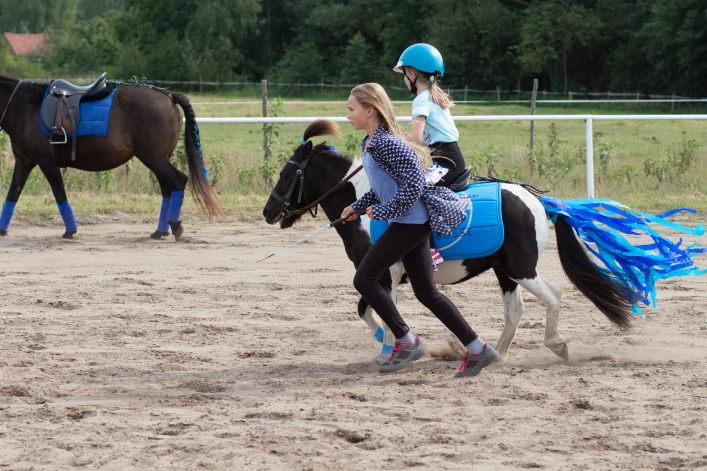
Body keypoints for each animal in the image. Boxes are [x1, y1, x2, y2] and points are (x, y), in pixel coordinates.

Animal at [0, 74, 222, 240]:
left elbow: (59, 194)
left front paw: (70, 230)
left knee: (178, 181)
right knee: (167, 188)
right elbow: (12, 194)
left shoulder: (47, 163)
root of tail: (169, 96)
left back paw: (175, 226)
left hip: (154, 157)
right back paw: (160, 231)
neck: (26, 108)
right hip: (159, 158)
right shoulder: (24, 162)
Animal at [261, 120, 641, 364]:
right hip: (504, 271)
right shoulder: (381, 276)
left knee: (554, 295)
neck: (367, 206)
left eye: (285, 173)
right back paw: (495, 355)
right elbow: (371, 311)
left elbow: (376, 311)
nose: (268, 211)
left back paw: (555, 345)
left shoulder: (383, 274)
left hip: (521, 268)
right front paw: (392, 346)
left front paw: (391, 347)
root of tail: (537, 200)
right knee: (515, 311)